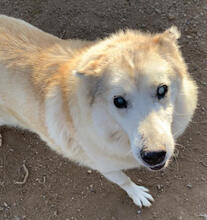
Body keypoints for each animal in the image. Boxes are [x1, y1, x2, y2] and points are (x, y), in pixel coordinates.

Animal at [0, 15, 197, 208]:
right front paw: (137, 194)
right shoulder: (106, 168)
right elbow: (124, 181)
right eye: (118, 101)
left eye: (162, 89)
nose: (154, 156)